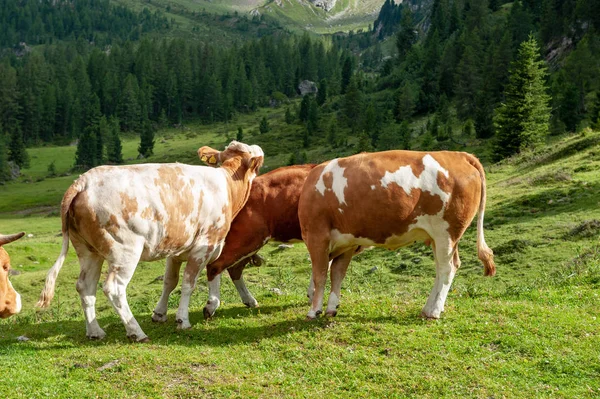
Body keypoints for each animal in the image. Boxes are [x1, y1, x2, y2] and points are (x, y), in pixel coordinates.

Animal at [37, 141, 262, 344]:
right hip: (124, 251)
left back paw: (95, 331)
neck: (227, 185)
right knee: (114, 288)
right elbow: (189, 283)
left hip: (87, 250)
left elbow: (171, 281)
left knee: (85, 287)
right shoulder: (204, 245)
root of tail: (84, 181)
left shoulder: (179, 249)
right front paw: (183, 319)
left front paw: (161, 313)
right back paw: (136, 332)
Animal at [152, 162, 316, 318]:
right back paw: (212, 304)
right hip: (249, 237)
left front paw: (312, 294)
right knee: (216, 265)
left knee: (233, 268)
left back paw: (248, 300)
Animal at [298, 150, 494, 322]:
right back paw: (428, 309)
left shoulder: (317, 236)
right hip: (440, 237)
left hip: (446, 232)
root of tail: (458, 155)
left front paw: (314, 311)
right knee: (443, 268)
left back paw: (434, 311)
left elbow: (320, 274)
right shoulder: (346, 242)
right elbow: (336, 274)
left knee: (447, 268)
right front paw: (331, 308)